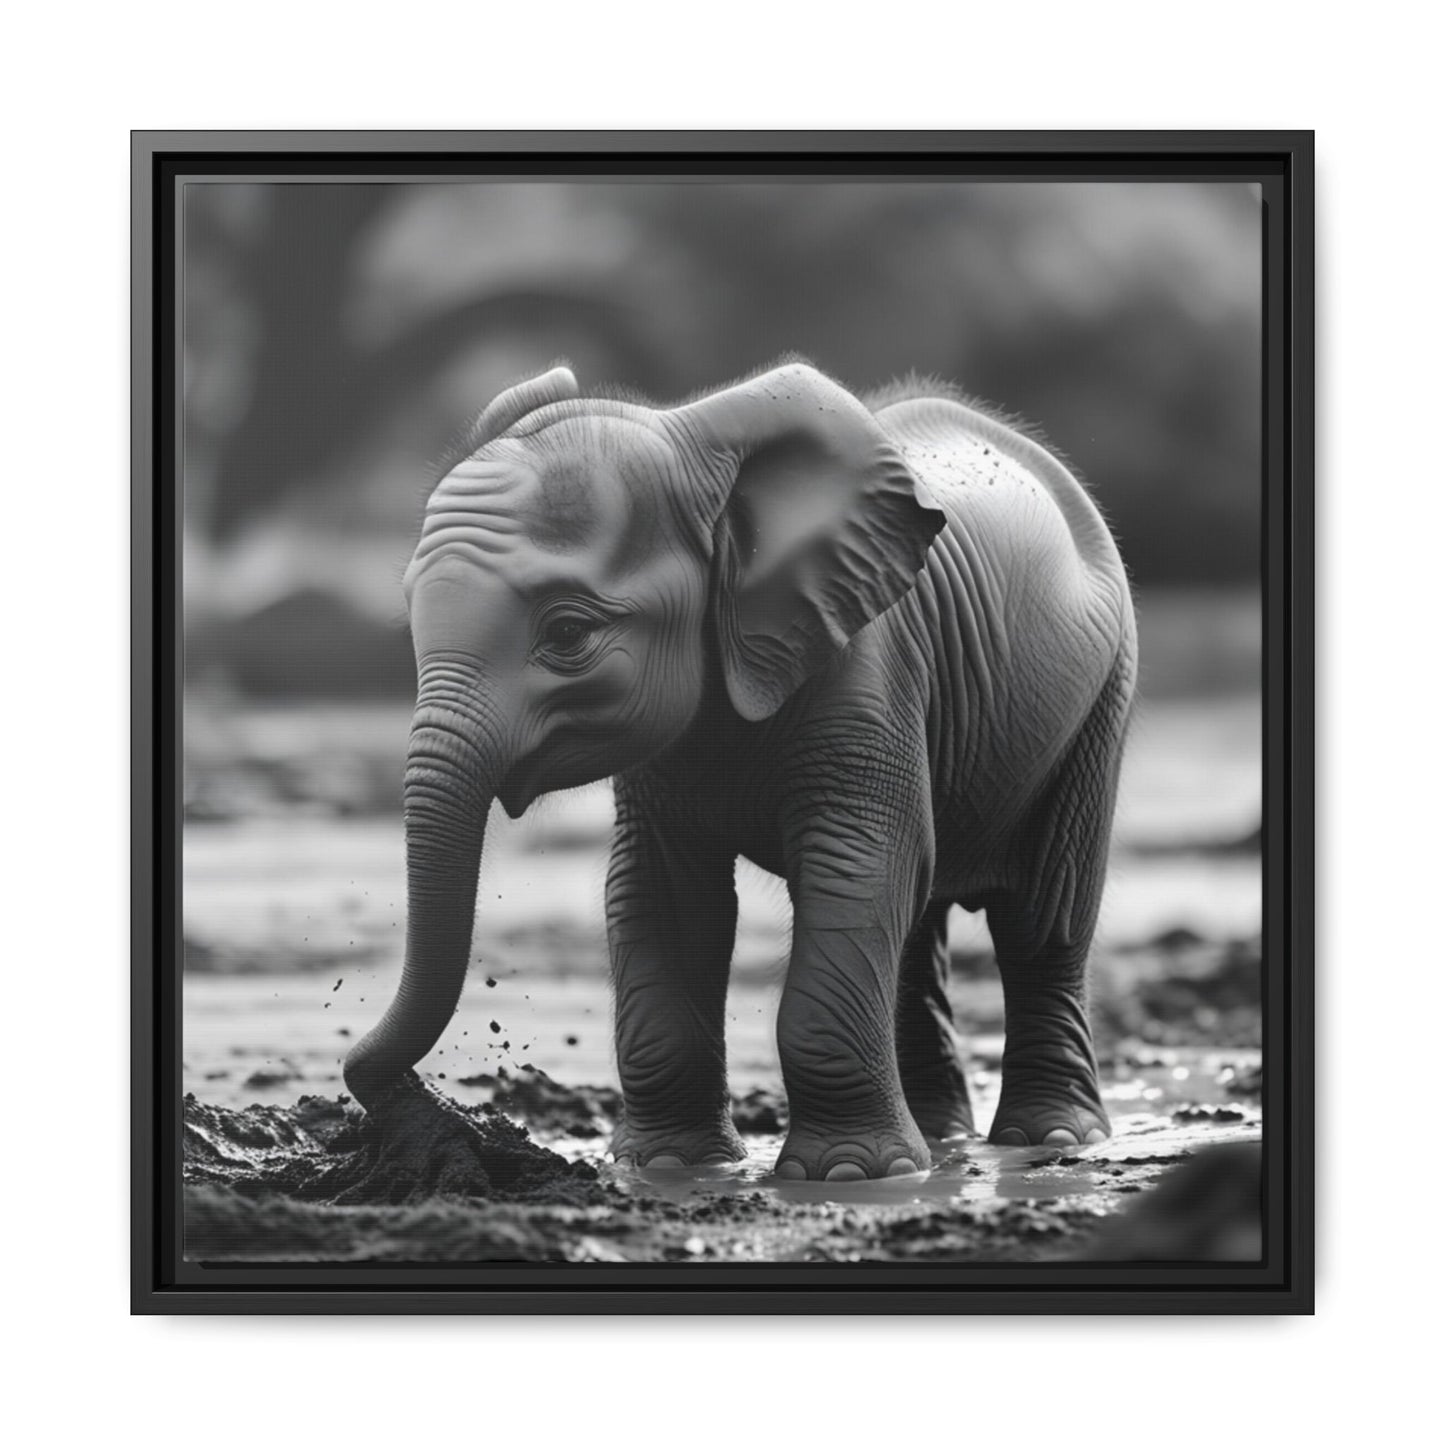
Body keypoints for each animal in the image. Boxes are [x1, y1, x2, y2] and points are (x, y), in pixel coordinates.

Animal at [343, 358, 1137, 1182]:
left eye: (567, 633)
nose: (416, 1104)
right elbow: (662, 893)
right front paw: (668, 1166)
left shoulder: (868, 665)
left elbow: (856, 865)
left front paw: (847, 1175)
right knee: (920, 925)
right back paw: (941, 1141)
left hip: (1100, 695)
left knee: (1042, 916)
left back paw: (1050, 1138)